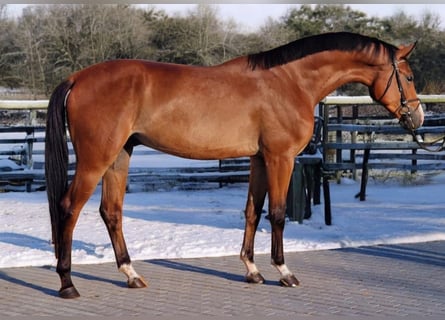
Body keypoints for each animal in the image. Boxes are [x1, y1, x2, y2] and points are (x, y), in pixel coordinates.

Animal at [45, 31, 424, 298]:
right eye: (407, 77)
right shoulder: (280, 158)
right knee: (68, 208)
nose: (417, 118)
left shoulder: (259, 159)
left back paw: (131, 275)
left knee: (111, 211)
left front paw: (252, 270)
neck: (290, 82)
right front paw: (284, 272)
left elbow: (253, 212)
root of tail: (77, 78)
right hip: (96, 159)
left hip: (119, 156)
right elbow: (278, 213)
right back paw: (67, 283)